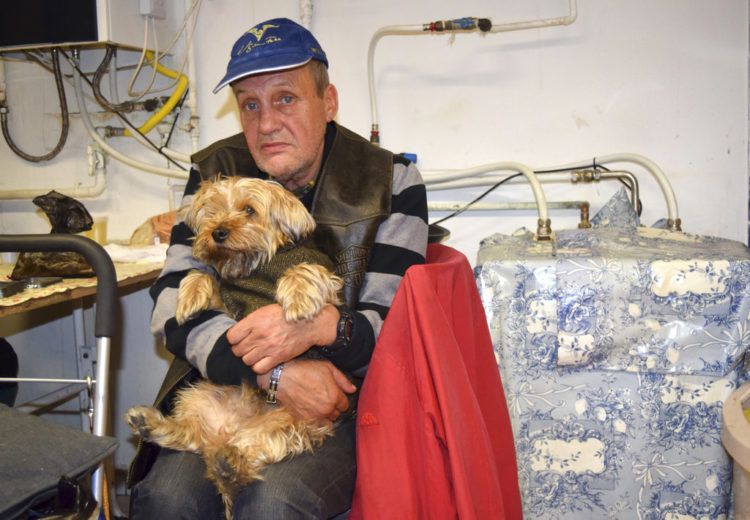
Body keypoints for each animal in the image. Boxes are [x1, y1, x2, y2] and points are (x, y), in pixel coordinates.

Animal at [125, 177, 344, 516]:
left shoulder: (328, 287)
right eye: (212, 211)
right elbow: (201, 274)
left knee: (252, 453)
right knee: (191, 436)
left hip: (292, 422)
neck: (254, 265)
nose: (218, 232)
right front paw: (189, 297)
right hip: (197, 398)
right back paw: (152, 425)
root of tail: (226, 433)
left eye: (249, 210)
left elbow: (304, 270)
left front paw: (297, 298)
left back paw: (229, 464)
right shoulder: (230, 311)